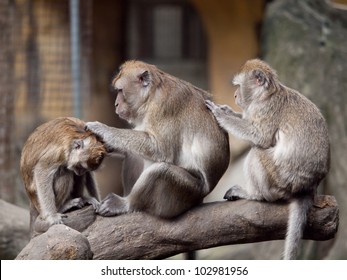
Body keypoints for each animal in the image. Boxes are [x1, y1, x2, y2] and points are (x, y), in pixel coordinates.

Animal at [85, 60, 230, 219]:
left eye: (120, 90)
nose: (116, 104)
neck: (151, 95)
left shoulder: (164, 106)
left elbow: (160, 149)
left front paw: (102, 129)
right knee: (134, 155)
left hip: (187, 192)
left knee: (161, 171)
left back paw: (127, 203)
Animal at [207, 59, 332, 260]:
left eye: (239, 86)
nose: (234, 95)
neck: (266, 95)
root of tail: (308, 188)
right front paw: (228, 111)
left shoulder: (265, 110)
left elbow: (260, 137)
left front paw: (221, 114)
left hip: (281, 179)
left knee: (257, 153)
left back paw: (254, 194)